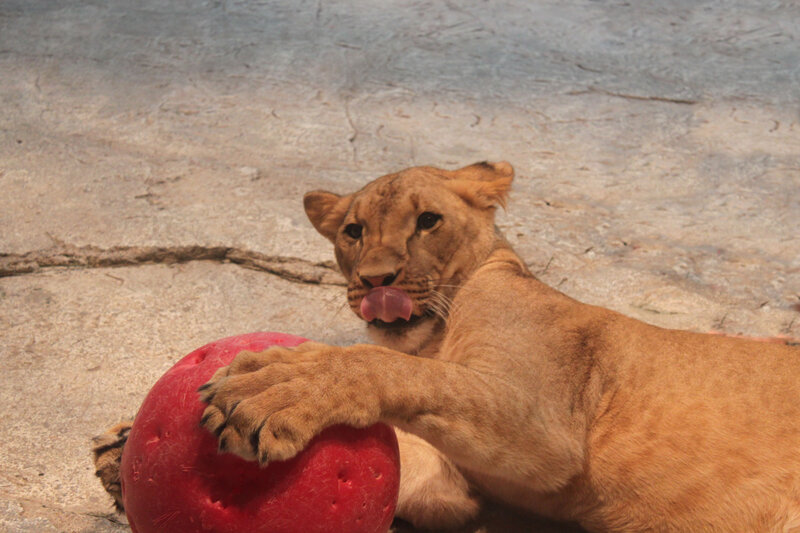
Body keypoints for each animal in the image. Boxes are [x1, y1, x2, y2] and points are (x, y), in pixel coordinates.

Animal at [95, 162, 800, 532]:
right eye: (353, 231)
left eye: (427, 221)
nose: (376, 280)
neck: (432, 335)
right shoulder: (459, 484)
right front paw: (120, 448)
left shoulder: (546, 427)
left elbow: (382, 364)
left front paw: (273, 387)